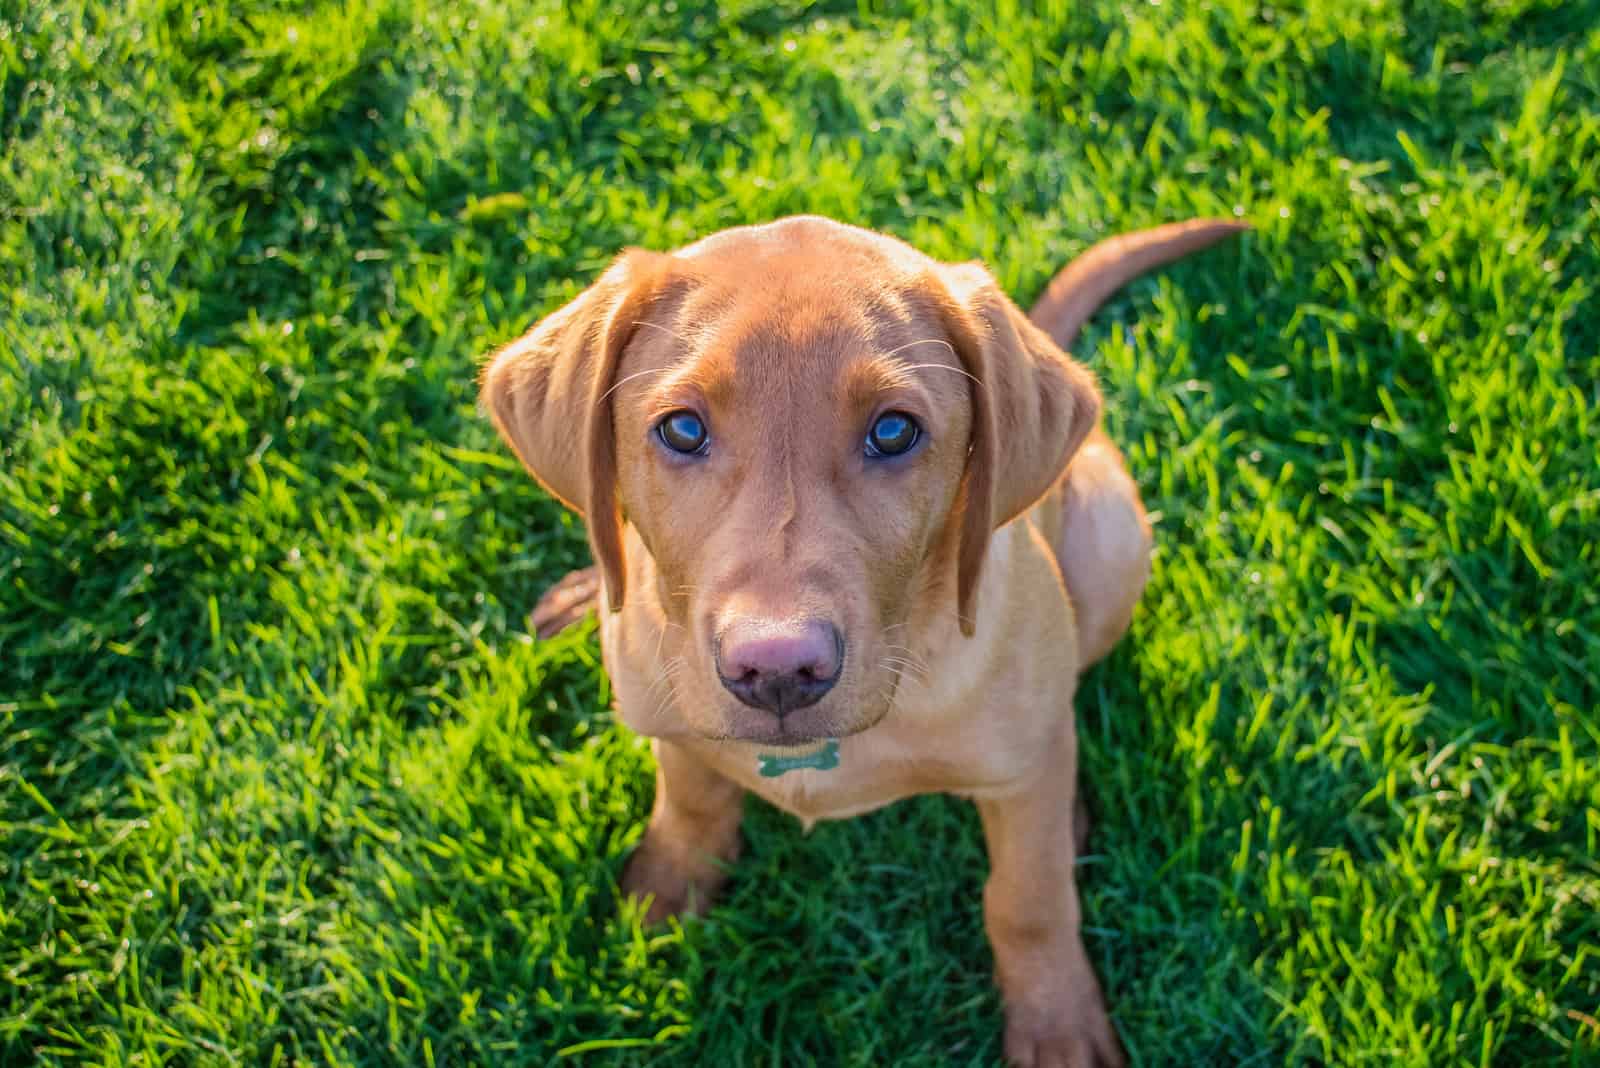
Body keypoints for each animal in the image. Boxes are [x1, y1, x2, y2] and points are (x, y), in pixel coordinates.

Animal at [480, 212, 1241, 1061]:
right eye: (680, 429)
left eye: (894, 431)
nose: (777, 670)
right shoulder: (667, 712)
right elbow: (690, 797)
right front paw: (668, 890)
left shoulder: (1022, 773)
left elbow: (1028, 897)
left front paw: (1056, 1024)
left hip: (1113, 548)